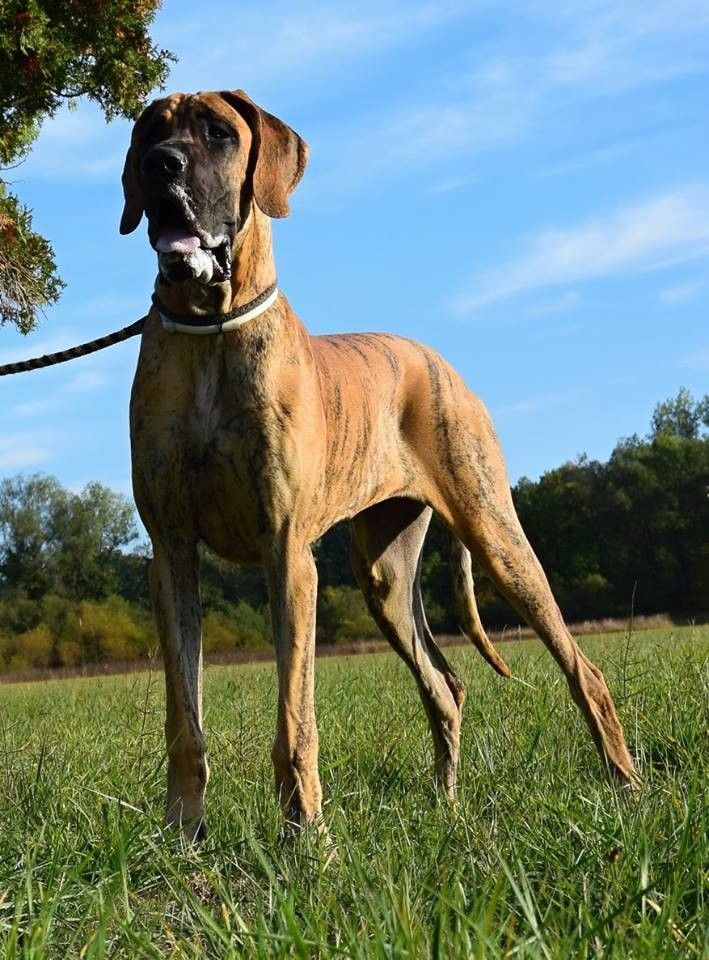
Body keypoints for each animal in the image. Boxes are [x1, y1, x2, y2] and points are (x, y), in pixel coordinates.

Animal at [121, 89, 638, 839]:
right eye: (149, 134)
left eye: (218, 133)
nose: (162, 165)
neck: (210, 328)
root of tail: (439, 361)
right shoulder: (172, 555)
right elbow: (184, 720)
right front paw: (181, 839)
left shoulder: (288, 556)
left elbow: (295, 719)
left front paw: (305, 838)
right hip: (385, 575)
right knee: (446, 686)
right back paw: (447, 804)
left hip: (497, 537)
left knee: (581, 669)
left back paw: (626, 786)